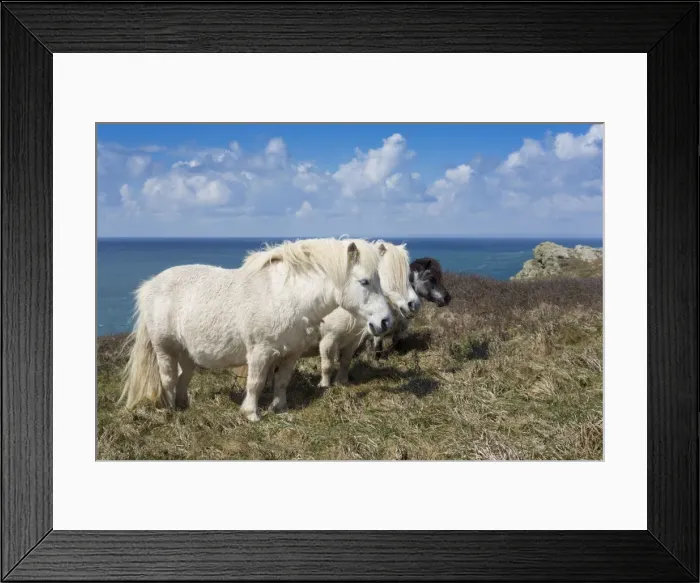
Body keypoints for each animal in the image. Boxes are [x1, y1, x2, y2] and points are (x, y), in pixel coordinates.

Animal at [119, 237, 393, 422]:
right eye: (364, 281)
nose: (385, 322)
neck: (285, 296)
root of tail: (150, 285)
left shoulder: (291, 353)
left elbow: (282, 381)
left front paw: (280, 408)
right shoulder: (260, 353)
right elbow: (256, 383)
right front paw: (251, 414)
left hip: (187, 353)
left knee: (183, 377)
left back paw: (184, 404)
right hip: (165, 348)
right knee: (167, 377)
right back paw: (171, 409)